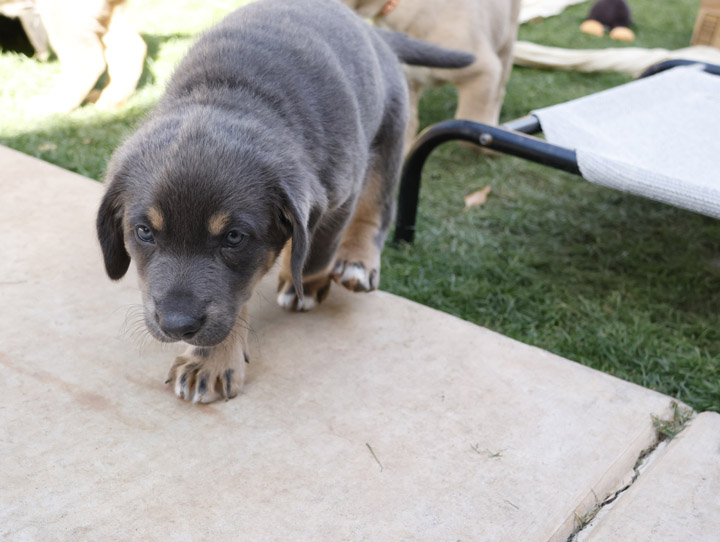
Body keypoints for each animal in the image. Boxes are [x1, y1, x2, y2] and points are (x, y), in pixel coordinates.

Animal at [98, 0, 476, 404]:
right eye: (143, 232)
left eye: (234, 237)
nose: (176, 324)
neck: (232, 94)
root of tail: (374, 34)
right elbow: (238, 297)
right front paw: (210, 359)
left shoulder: (339, 196)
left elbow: (314, 252)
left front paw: (303, 286)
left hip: (390, 135)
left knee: (376, 210)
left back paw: (357, 262)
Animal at [340, 0, 520, 149]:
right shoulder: (406, 82)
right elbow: (408, 123)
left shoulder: (483, 70)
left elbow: (470, 117)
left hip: (507, 41)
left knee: (499, 90)